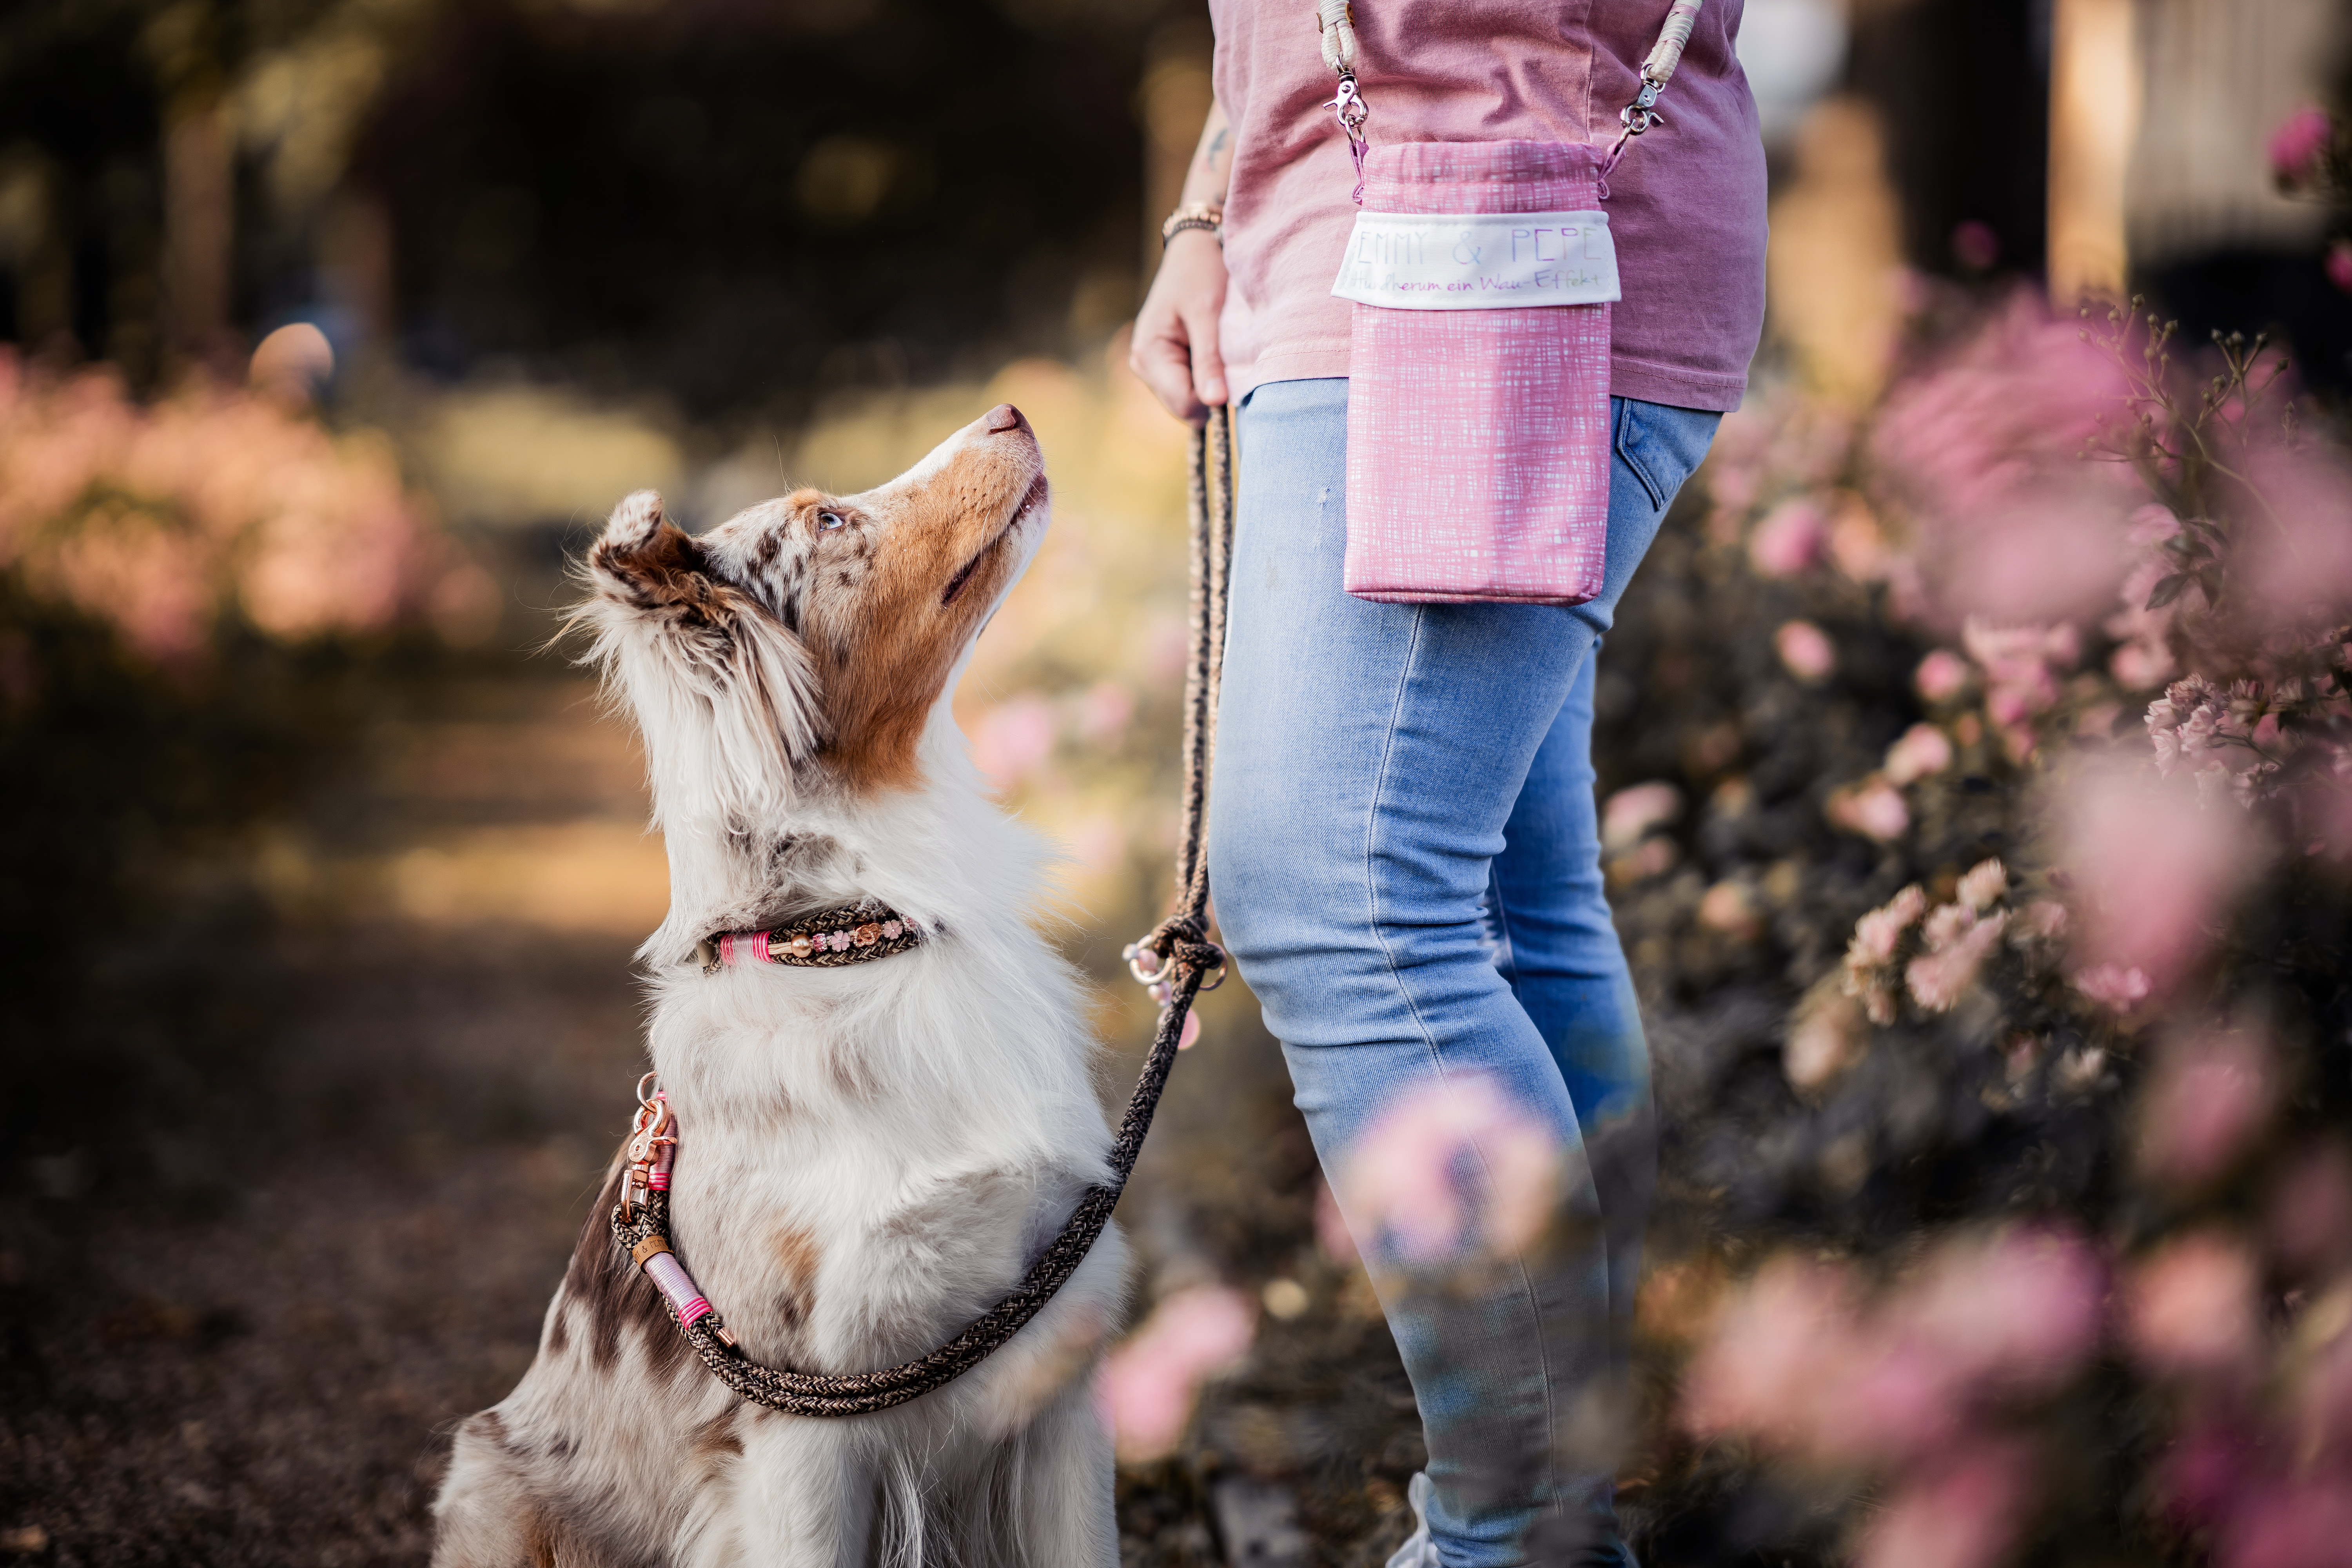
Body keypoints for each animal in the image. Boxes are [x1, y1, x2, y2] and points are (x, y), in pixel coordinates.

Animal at [442, 402, 1138, 1568]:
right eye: (828, 520)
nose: (1009, 409)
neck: (856, 933)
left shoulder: (1057, 1370)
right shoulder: (799, 1433)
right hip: (491, 1480)